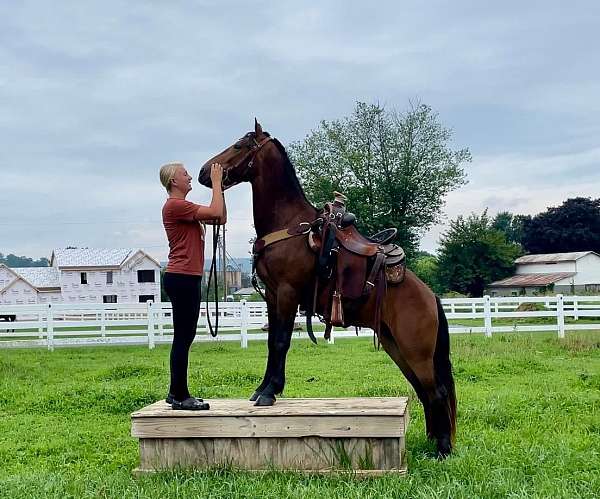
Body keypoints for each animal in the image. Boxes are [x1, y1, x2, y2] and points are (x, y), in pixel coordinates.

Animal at [199, 120, 458, 458]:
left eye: (240, 145)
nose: (205, 172)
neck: (290, 225)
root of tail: (430, 297)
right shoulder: (272, 296)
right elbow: (271, 341)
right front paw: (263, 388)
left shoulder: (287, 293)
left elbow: (280, 342)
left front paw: (270, 392)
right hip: (396, 347)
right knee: (424, 391)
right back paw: (433, 442)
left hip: (416, 350)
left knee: (436, 391)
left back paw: (443, 449)